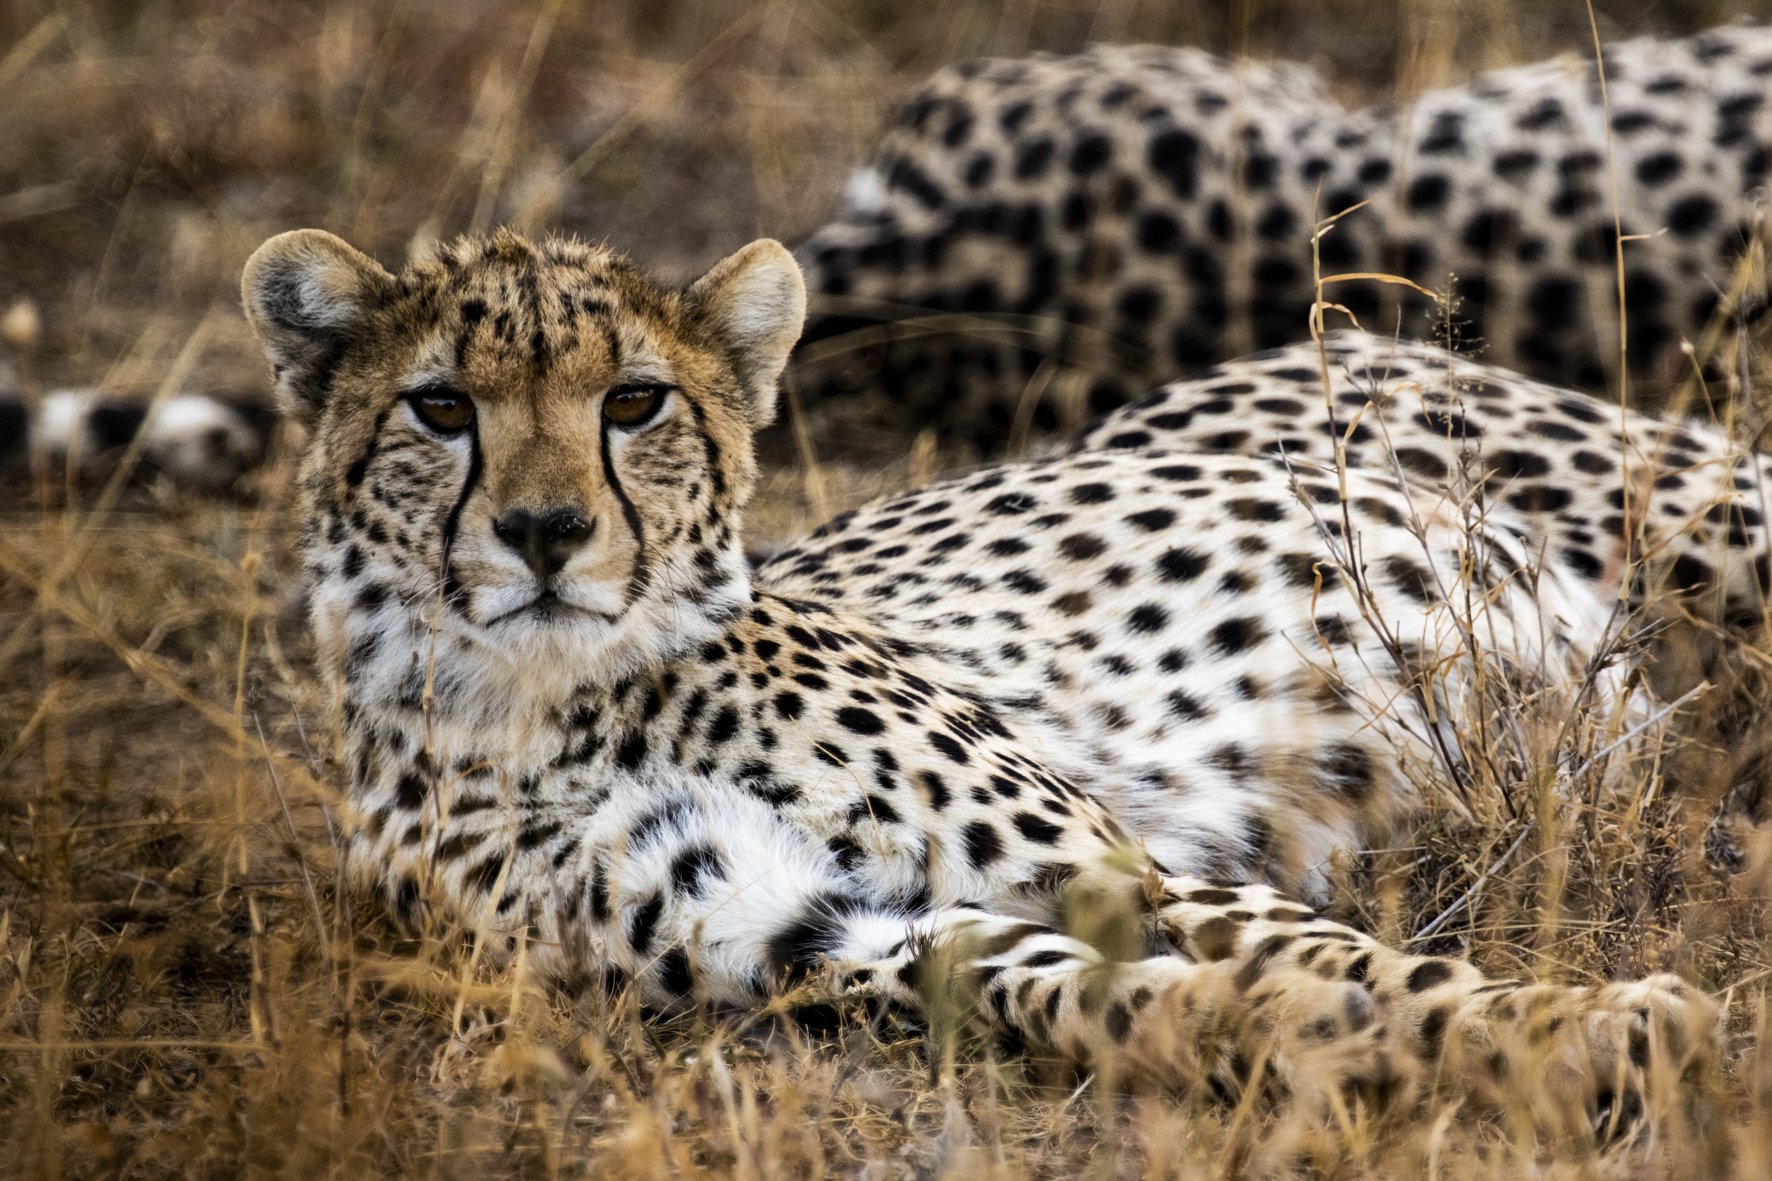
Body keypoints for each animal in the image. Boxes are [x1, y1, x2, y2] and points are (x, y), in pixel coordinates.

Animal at [240, 225, 1720, 1141]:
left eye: (633, 403)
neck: (555, 697)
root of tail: (1338, 332)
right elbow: (1106, 988)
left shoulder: (1095, 856)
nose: (544, 534)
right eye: (442, 408)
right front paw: (1306, 1030)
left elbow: (1330, 951)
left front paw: (1579, 1028)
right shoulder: (806, 927)